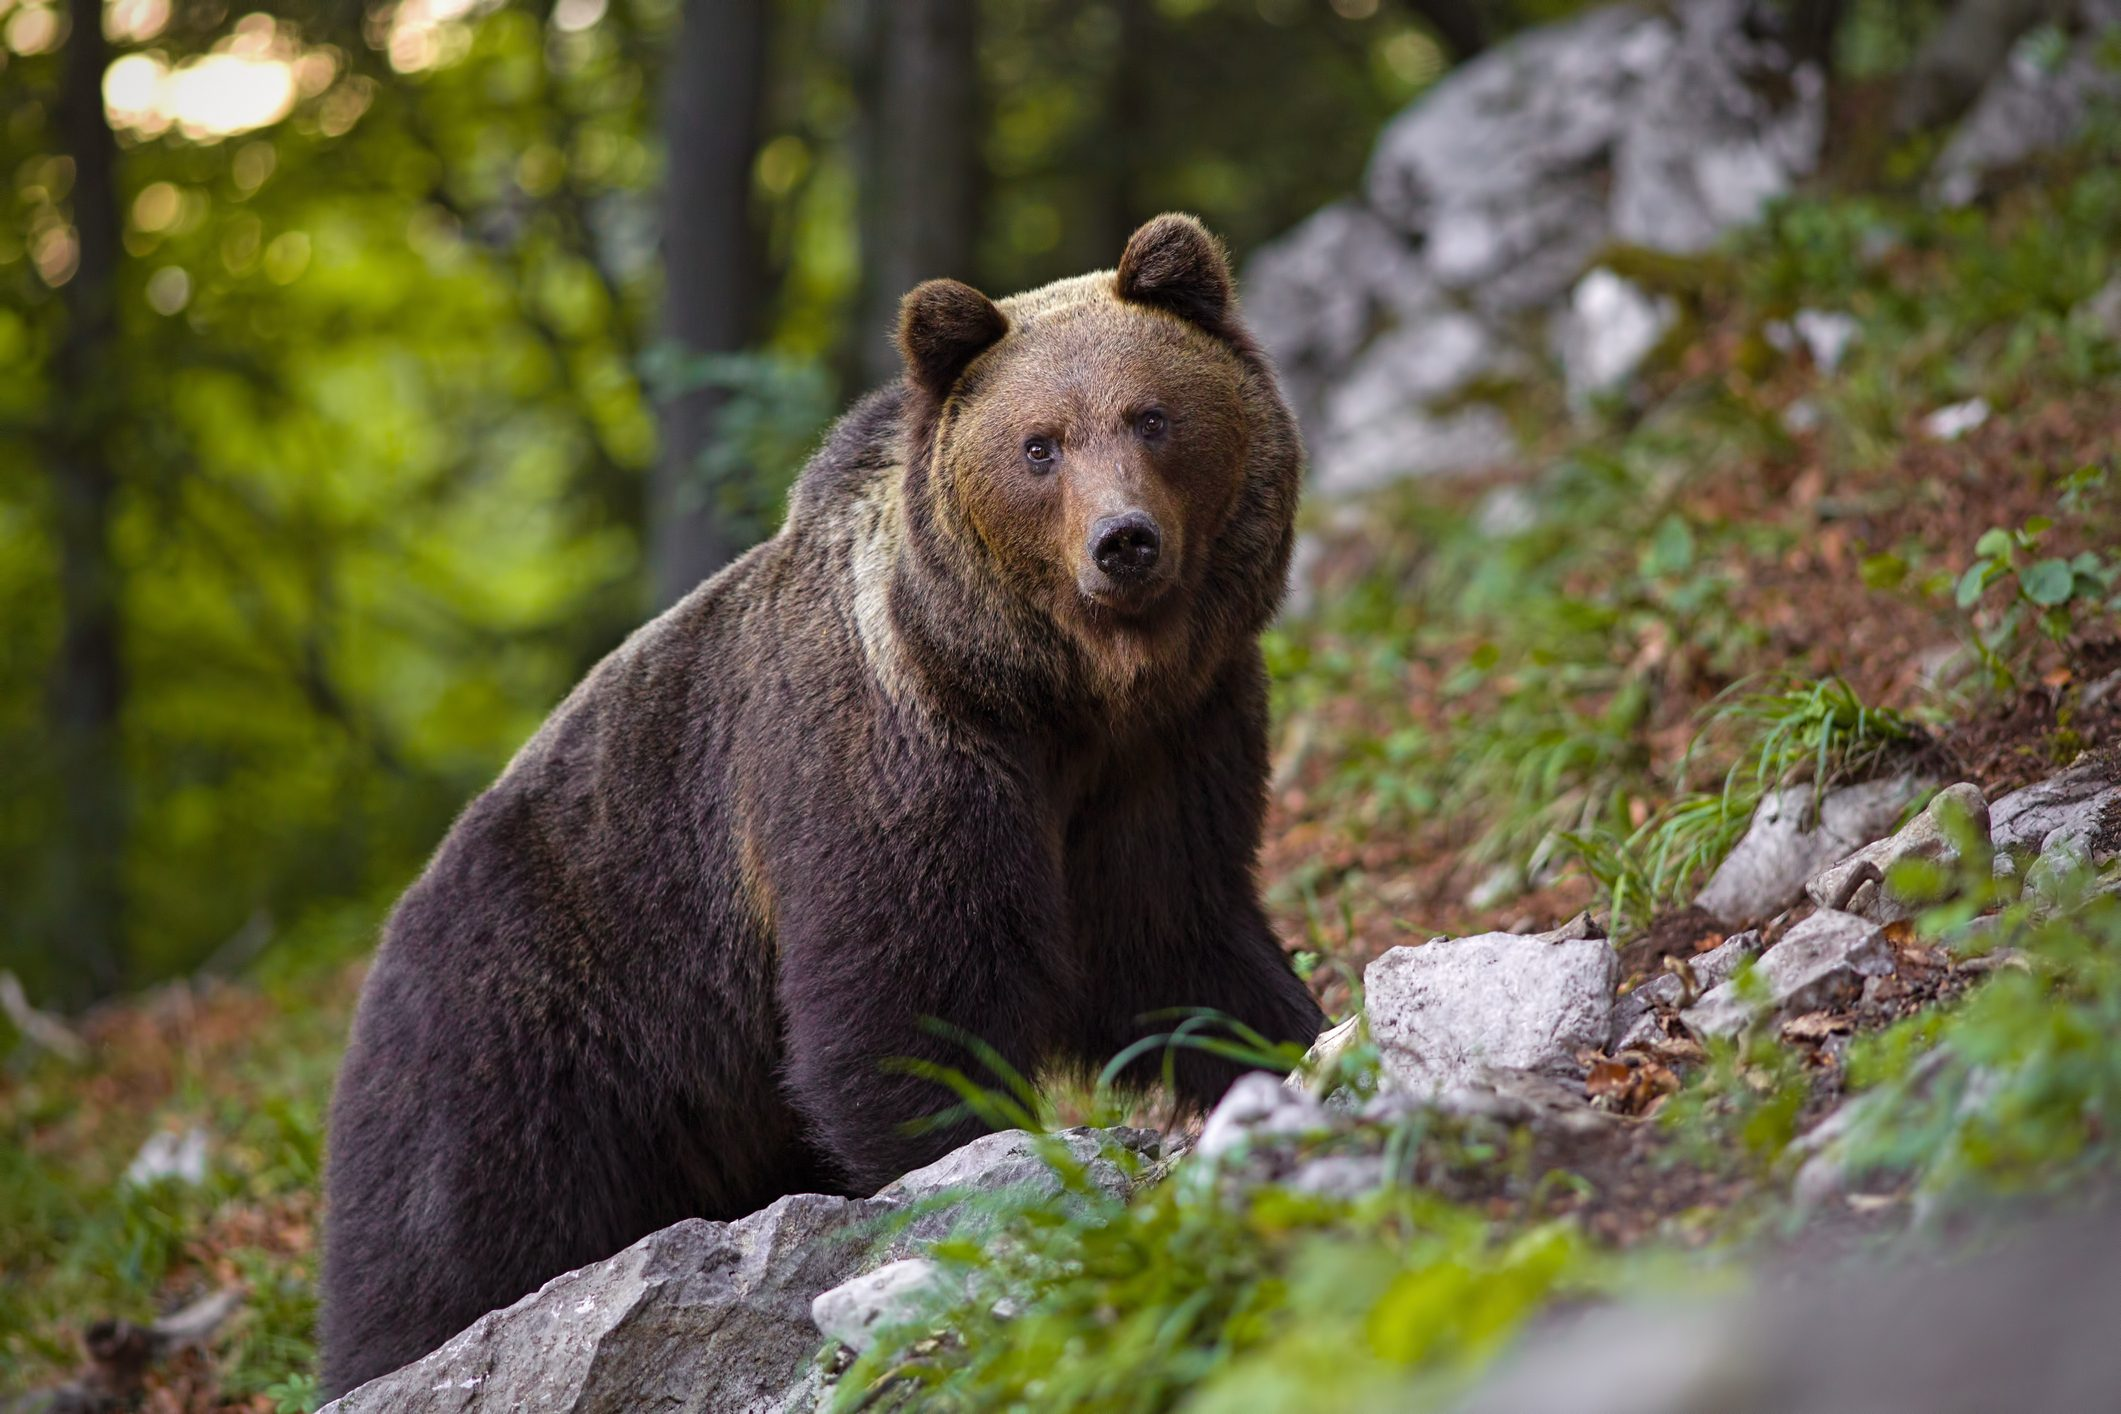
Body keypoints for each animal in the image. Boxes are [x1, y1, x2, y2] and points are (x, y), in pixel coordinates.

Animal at [313, 216, 1315, 1399]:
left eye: (1152, 416)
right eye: (1040, 445)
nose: (1122, 541)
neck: (1052, 693)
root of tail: (381, 944)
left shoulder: (1170, 750)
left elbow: (1177, 939)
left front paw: (1290, 1044)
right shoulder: (891, 757)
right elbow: (906, 1002)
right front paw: (966, 1171)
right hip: (518, 1043)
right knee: (448, 1248)